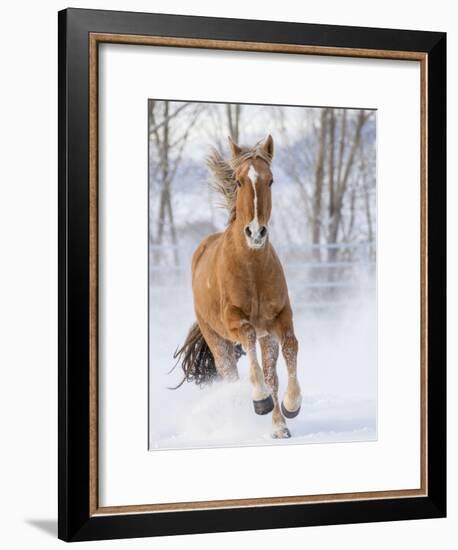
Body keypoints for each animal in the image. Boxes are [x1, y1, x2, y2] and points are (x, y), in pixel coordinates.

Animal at [173, 135, 300, 440]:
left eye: (271, 180)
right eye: (240, 181)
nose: (255, 232)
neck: (251, 268)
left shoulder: (280, 318)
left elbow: (291, 346)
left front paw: (291, 405)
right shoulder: (234, 321)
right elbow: (248, 337)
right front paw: (260, 400)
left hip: (267, 337)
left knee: (271, 374)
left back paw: (279, 426)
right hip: (216, 339)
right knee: (230, 375)